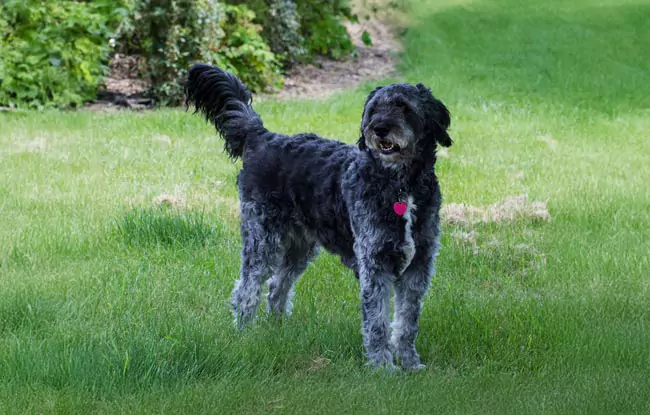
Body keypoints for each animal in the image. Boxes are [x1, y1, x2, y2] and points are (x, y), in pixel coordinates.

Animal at [185, 64, 450, 370]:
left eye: (403, 107)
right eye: (374, 109)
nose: (379, 128)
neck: (401, 187)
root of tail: (262, 137)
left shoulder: (418, 266)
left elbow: (407, 321)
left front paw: (409, 362)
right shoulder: (374, 263)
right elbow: (378, 322)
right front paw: (382, 366)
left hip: (299, 248)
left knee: (276, 287)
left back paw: (277, 330)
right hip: (262, 238)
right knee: (246, 290)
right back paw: (244, 334)